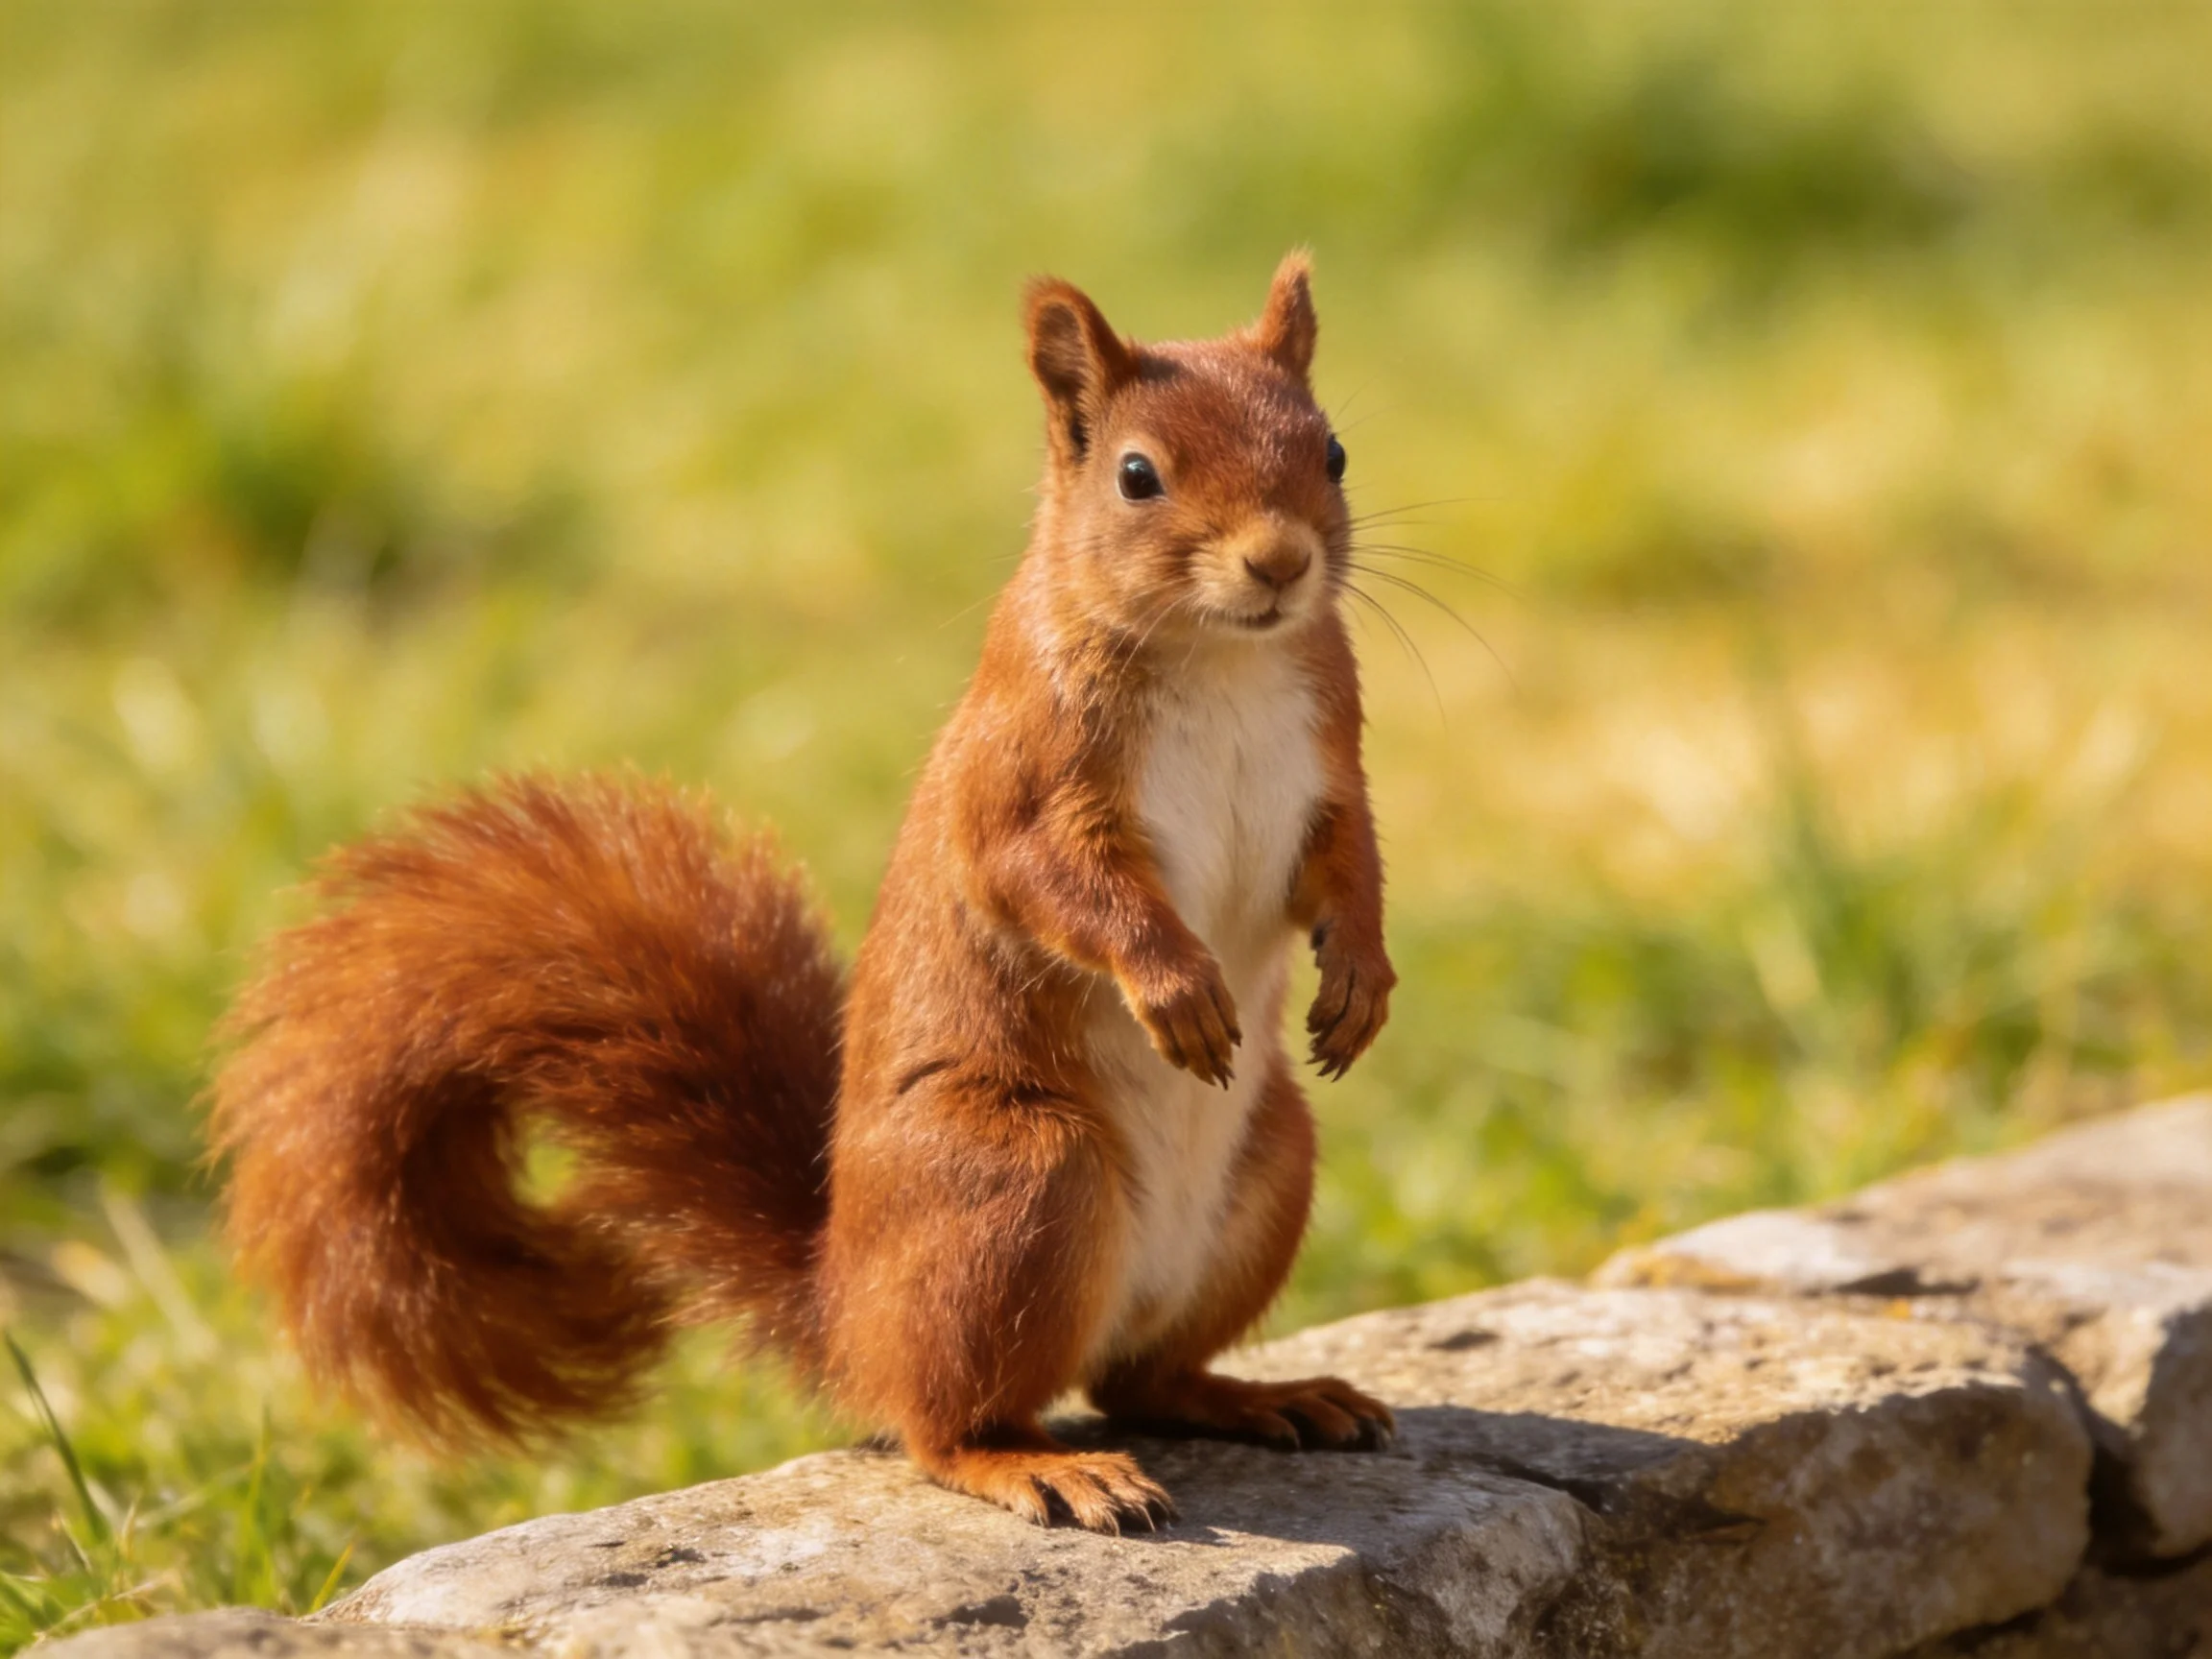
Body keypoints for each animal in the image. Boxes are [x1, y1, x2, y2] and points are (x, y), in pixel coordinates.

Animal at [210, 253, 1398, 1534]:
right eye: (1138, 476)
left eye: (1334, 451)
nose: (1280, 562)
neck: (1223, 656)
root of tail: (846, 1315)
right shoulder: (1026, 774)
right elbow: (1055, 881)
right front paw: (1173, 984)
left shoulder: (1330, 762)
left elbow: (1352, 867)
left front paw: (1363, 982)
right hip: (1018, 1180)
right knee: (949, 1419)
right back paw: (1037, 1463)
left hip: (1270, 1162)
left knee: (1143, 1378)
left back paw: (1264, 1397)